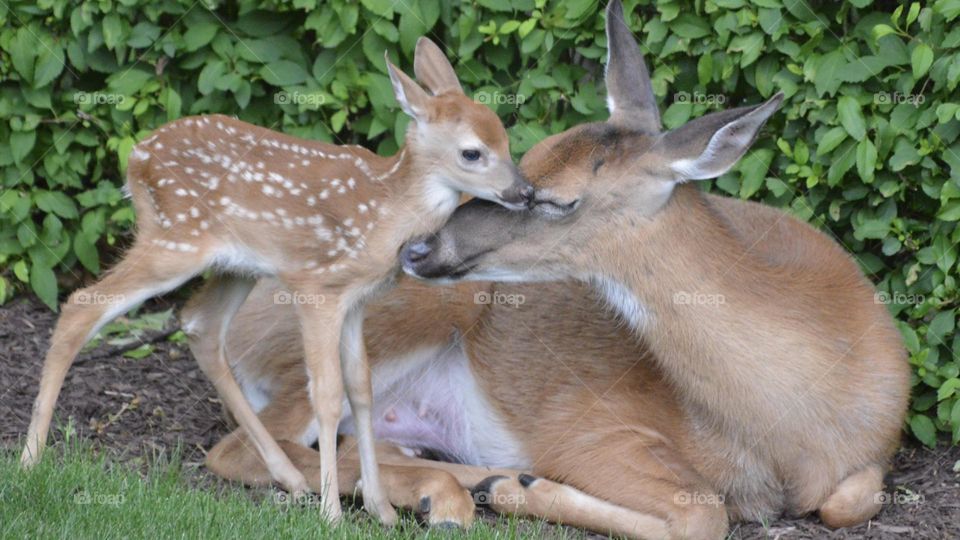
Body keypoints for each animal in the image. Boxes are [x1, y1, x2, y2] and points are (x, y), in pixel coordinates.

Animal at [20, 39, 532, 528]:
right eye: (472, 152)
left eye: (506, 141)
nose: (525, 192)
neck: (387, 212)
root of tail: (136, 158)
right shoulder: (317, 287)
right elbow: (327, 395)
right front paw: (333, 515)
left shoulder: (355, 301)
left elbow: (361, 390)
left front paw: (381, 511)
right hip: (174, 238)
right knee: (81, 304)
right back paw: (29, 461)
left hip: (233, 265)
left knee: (199, 324)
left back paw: (289, 478)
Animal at [184, 3, 904, 536]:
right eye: (521, 160)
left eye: (555, 199)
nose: (417, 251)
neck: (791, 425)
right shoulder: (590, 426)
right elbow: (702, 513)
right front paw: (521, 487)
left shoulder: (873, 451)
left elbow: (845, 501)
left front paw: (507, 485)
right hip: (403, 311)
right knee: (244, 446)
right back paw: (455, 492)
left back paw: (446, 486)